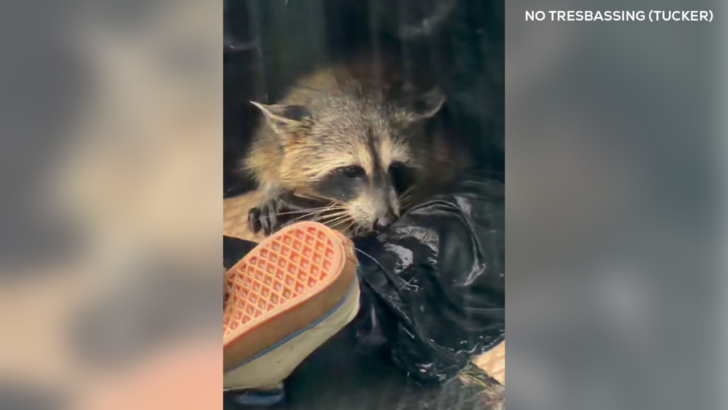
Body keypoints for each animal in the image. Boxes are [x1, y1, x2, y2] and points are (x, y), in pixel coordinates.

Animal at [243, 58, 468, 236]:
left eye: (396, 167)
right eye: (351, 171)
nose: (386, 221)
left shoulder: (442, 147)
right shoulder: (269, 143)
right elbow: (267, 161)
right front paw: (274, 190)